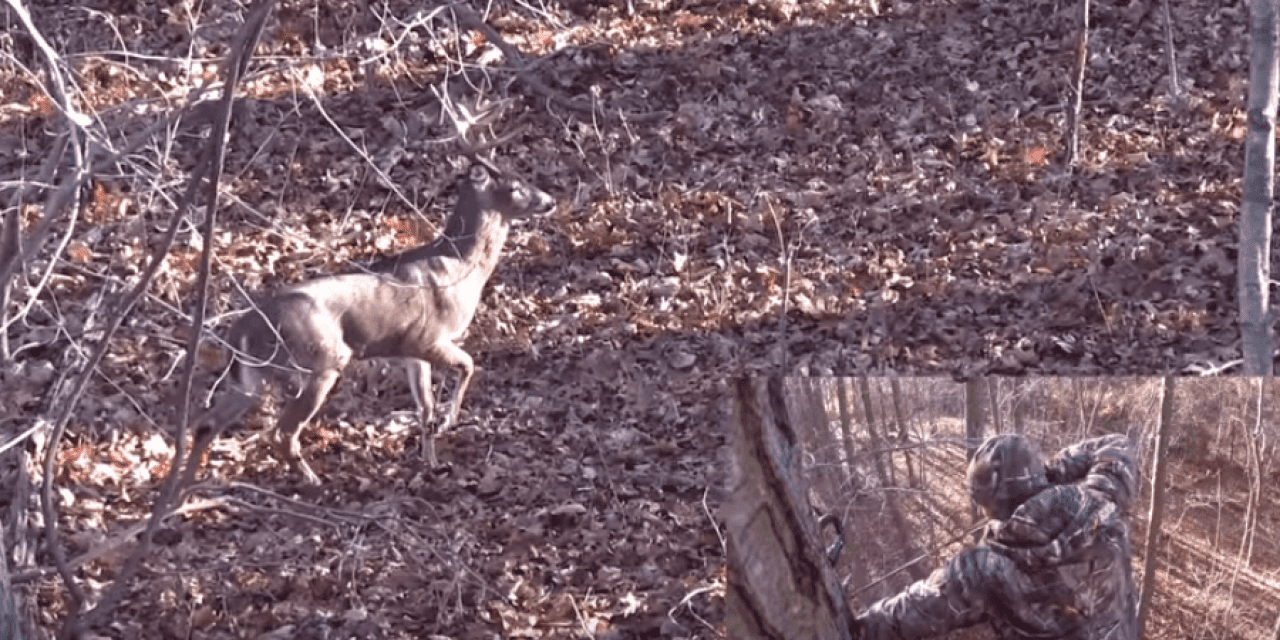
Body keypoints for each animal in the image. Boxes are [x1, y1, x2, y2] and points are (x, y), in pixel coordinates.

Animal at [192, 96, 552, 483]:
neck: (460, 268)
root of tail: (240, 331)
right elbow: (468, 366)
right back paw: (312, 481)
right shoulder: (429, 337)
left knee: (207, 423)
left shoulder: (409, 351)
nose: (548, 200)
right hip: (318, 362)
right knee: (283, 432)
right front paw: (449, 421)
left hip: (250, 378)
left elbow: (424, 407)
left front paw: (430, 461)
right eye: (514, 186)